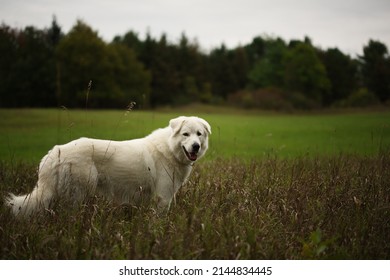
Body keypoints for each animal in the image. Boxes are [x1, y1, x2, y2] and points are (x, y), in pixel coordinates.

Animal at [5, 116, 210, 217]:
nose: (195, 146)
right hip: (77, 194)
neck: (169, 149)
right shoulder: (163, 197)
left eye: (199, 134)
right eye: (185, 134)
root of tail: (54, 153)